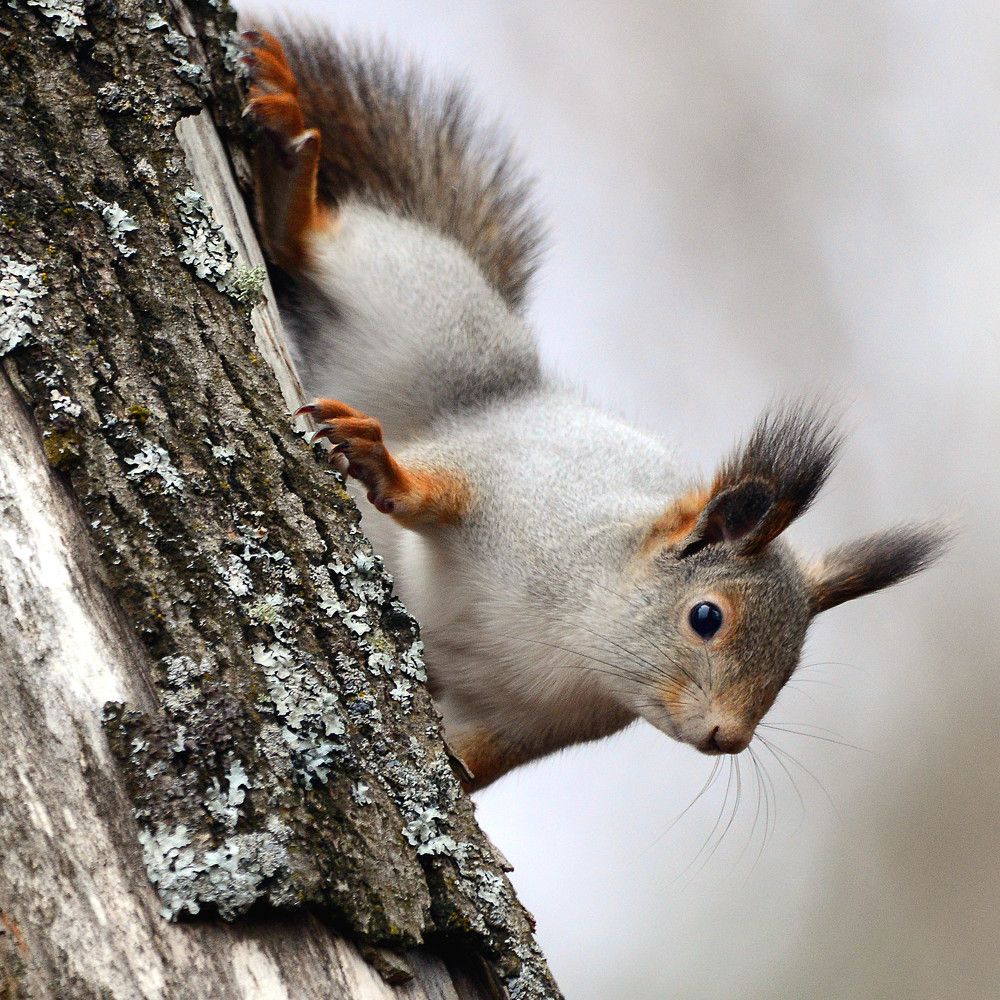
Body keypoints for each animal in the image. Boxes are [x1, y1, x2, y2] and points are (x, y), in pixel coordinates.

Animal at [239, 27, 948, 792]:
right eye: (706, 617)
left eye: (791, 665)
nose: (728, 737)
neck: (579, 635)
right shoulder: (516, 482)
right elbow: (437, 485)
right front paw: (384, 467)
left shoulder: (526, 725)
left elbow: (478, 759)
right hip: (432, 316)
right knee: (325, 245)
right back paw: (293, 165)